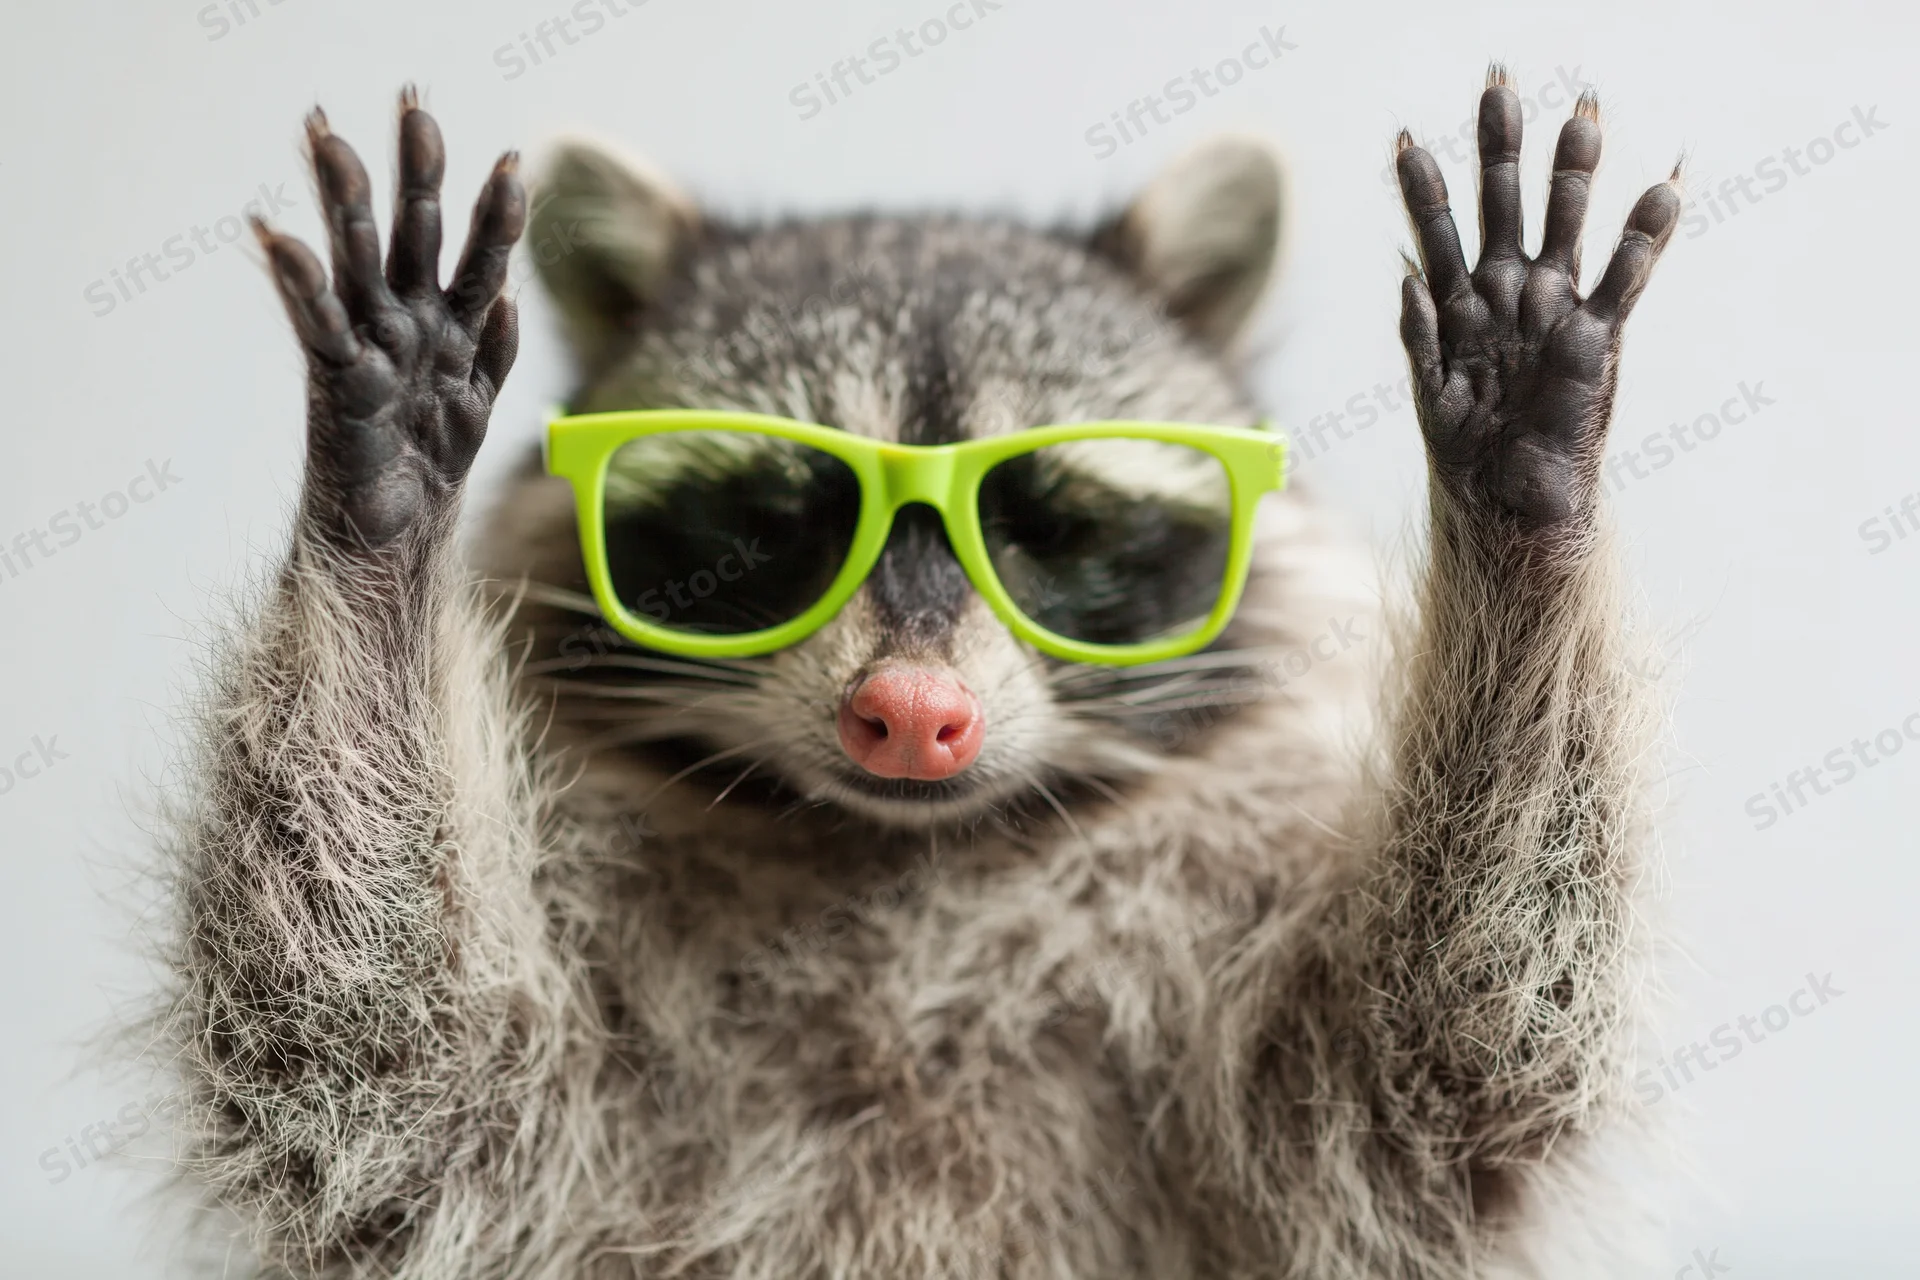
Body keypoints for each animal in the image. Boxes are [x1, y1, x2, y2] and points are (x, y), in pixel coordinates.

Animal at [157, 71, 1683, 1278]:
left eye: (1044, 524)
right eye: (784, 521)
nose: (908, 714)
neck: (907, 858)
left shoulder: (1282, 1096)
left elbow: (1444, 1064)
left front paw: (1520, 501)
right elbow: (379, 1072)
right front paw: (379, 517)